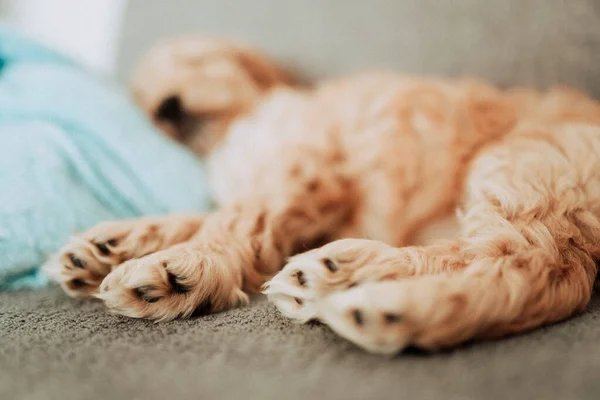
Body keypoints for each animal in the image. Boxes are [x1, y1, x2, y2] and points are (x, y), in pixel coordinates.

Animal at [44, 37, 600, 354]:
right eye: (141, 102)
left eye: (199, 61)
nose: (168, 105)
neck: (235, 129)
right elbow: (203, 216)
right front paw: (108, 245)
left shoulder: (306, 168)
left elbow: (235, 219)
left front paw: (183, 265)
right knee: (479, 251)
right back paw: (348, 273)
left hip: (524, 161)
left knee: (535, 266)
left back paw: (385, 304)